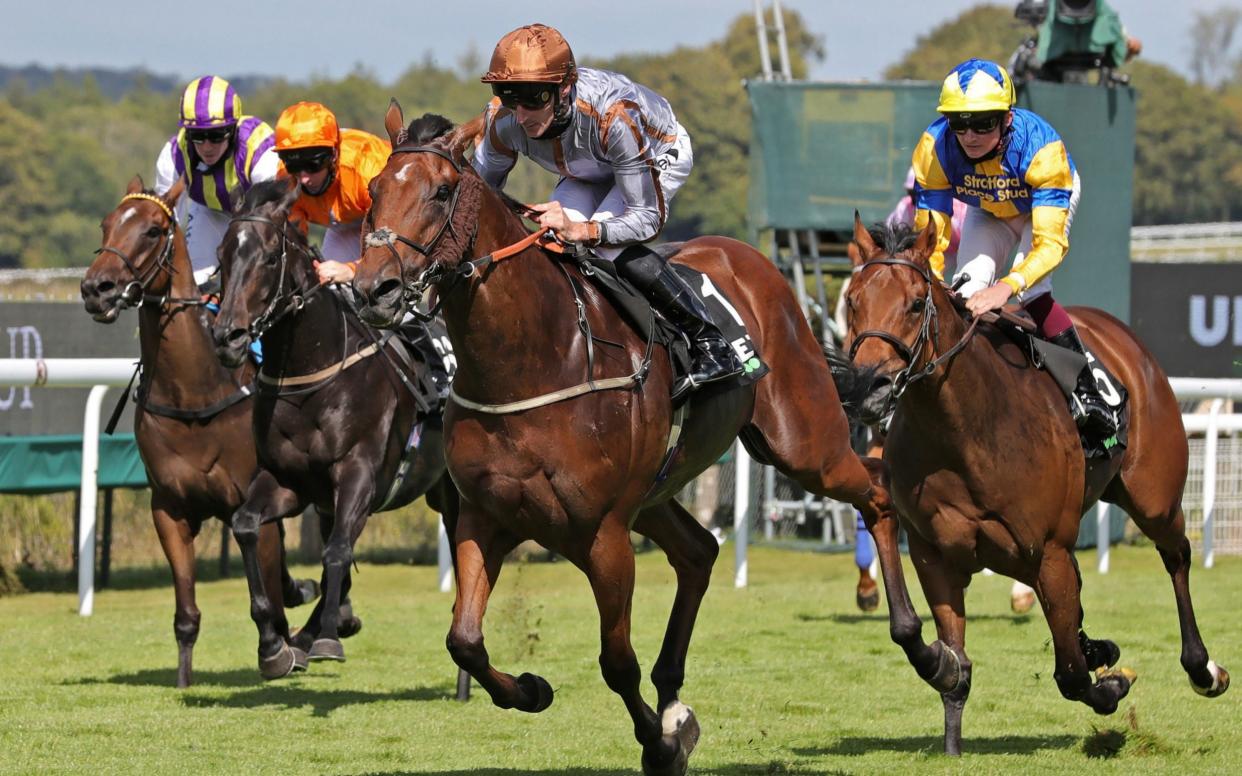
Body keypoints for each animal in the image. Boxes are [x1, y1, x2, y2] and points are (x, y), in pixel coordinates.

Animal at [79, 175, 317, 685]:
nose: (96, 288)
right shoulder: (169, 508)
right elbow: (186, 615)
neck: (194, 391)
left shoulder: (253, 500)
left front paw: (281, 647)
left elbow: (269, 595)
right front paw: (184, 681)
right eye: (107, 224)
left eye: (153, 230)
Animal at [211, 173, 464, 675]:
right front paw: (273, 642)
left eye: (269, 257)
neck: (311, 377)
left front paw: (327, 634)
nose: (228, 336)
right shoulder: (290, 480)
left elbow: (337, 551)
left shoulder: (359, 473)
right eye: (223, 256)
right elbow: (247, 524)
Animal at [350, 107, 948, 774]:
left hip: (804, 446)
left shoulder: (605, 534)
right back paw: (674, 692)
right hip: (659, 491)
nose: (371, 289)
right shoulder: (485, 517)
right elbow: (464, 641)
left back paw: (930, 653)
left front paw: (661, 743)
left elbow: (616, 661)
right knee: (699, 552)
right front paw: (533, 690)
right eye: (373, 190)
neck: (531, 359)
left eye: (441, 191)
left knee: (876, 494)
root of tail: (749, 258)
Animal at [839, 216, 1227, 749]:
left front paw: (1112, 685)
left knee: (1177, 556)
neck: (966, 429)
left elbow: (1071, 676)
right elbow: (948, 661)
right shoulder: (933, 552)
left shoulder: (1049, 551)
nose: (867, 389)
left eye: (916, 303)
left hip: (1153, 500)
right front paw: (951, 730)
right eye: (852, 301)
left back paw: (1203, 668)